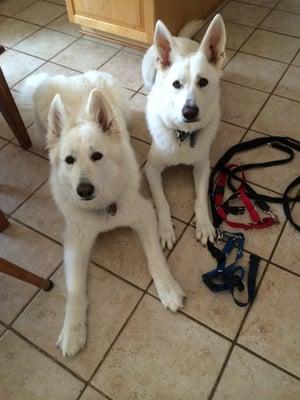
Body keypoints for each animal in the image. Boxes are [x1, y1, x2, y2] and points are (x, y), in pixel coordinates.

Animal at [23, 71, 184, 356]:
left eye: (97, 155)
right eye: (69, 160)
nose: (84, 189)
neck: (105, 207)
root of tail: (75, 77)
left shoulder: (144, 215)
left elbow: (156, 260)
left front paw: (168, 289)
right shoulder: (75, 241)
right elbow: (75, 290)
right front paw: (73, 330)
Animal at [142, 15, 226, 250]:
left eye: (203, 82)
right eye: (176, 84)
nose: (189, 112)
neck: (183, 134)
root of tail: (180, 38)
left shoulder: (203, 166)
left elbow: (201, 198)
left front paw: (205, 224)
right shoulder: (151, 169)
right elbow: (162, 201)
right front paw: (165, 229)